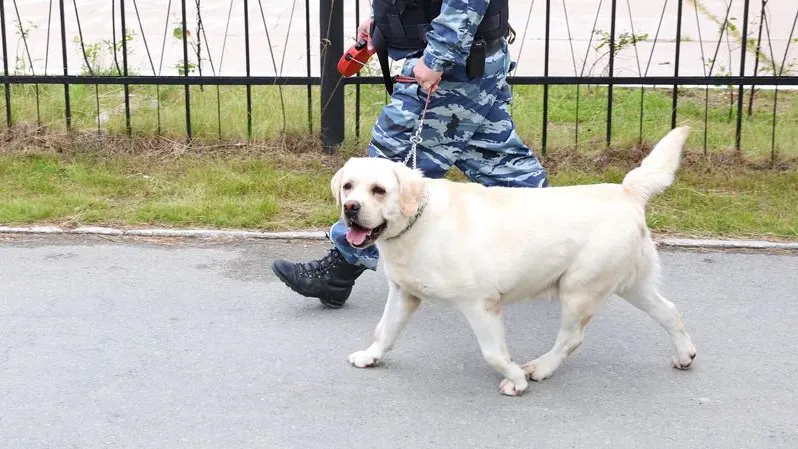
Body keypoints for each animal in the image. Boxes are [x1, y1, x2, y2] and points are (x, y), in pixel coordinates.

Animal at [334, 126, 696, 396]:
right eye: (349, 186)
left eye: (379, 190)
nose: (350, 208)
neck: (417, 223)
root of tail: (627, 192)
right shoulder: (403, 293)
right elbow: (384, 331)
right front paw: (370, 357)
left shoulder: (480, 303)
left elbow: (494, 354)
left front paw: (516, 380)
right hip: (631, 283)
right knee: (670, 311)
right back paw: (685, 355)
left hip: (578, 289)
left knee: (572, 338)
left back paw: (540, 368)